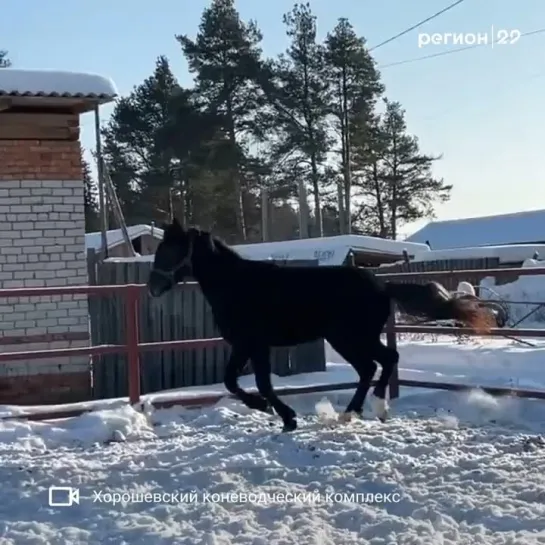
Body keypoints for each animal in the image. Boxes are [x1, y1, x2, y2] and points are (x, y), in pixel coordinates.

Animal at [147, 219, 490, 432]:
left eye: (171, 249)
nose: (152, 287)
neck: (237, 285)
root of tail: (382, 286)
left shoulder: (253, 344)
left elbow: (257, 384)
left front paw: (282, 415)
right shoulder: (245, 345)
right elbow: (233, 381)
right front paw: (275, 413)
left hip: (350, 337)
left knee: (380, 362)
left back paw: (370, 408)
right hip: (353, 338)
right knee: (375, 365)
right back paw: (356, 412)